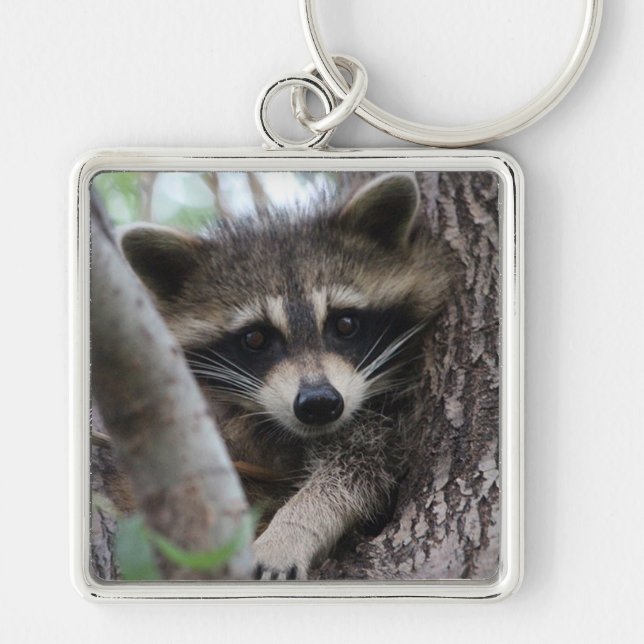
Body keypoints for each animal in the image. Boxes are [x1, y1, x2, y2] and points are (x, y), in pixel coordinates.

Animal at [119, 173, 451, 580]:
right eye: (256, 338)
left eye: (345, 324)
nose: (319, 403)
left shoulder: (391, 418)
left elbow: (359, 467)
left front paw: (293, 528)